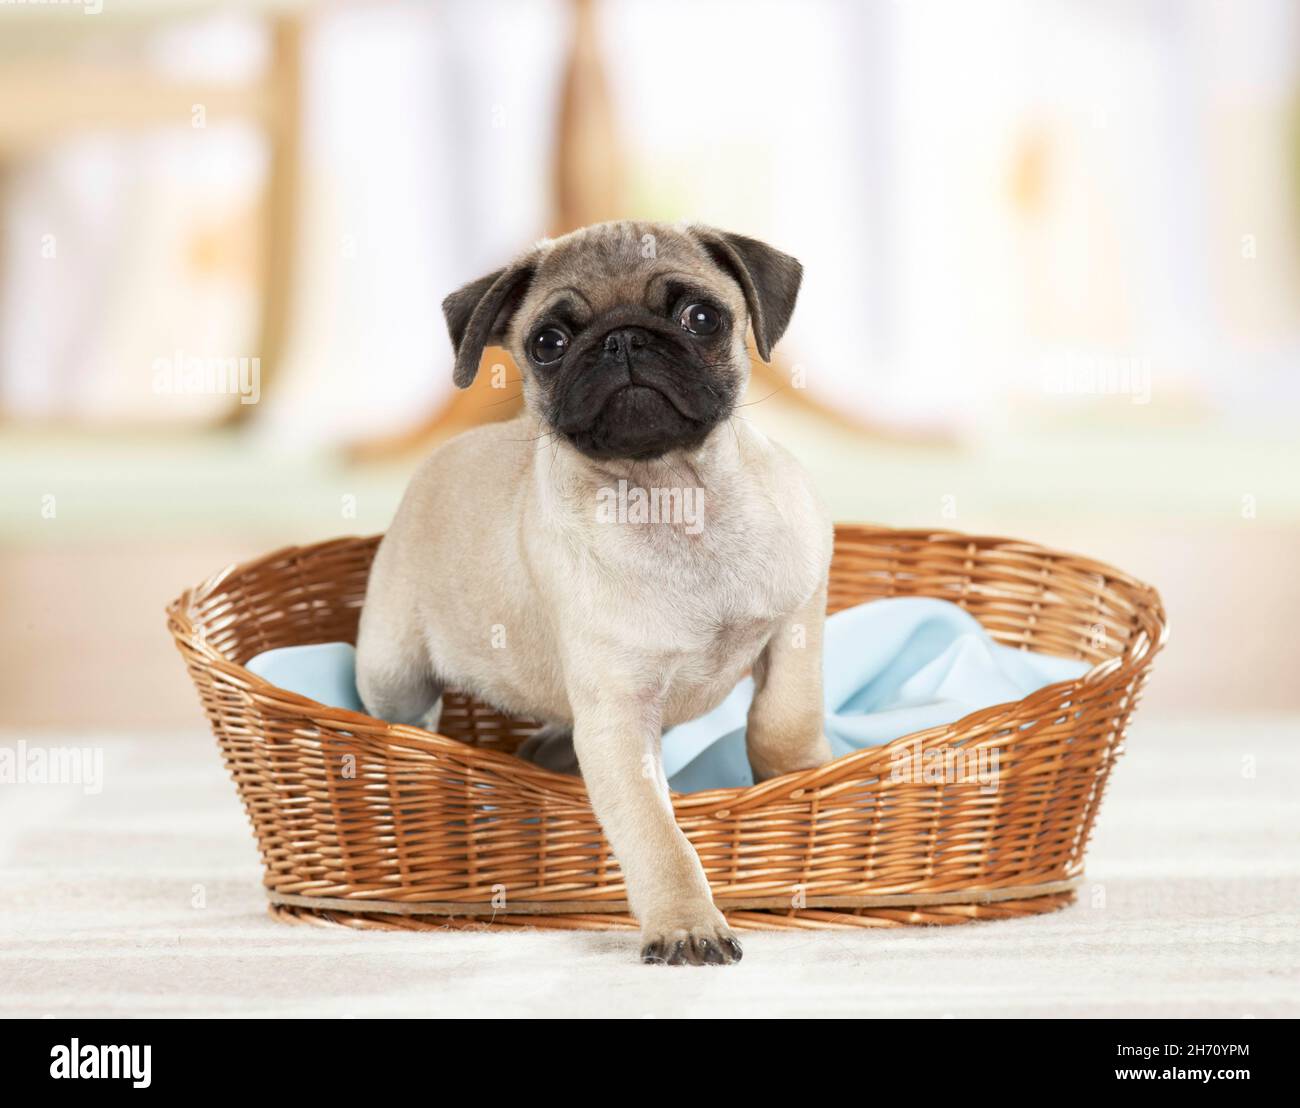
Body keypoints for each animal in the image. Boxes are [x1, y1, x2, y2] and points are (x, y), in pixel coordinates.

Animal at [353, 221, 832, 967]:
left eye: (702, 318)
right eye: (547, 342)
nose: (623, 339)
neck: (675, 496)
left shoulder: (799, 617)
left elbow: (785, 716)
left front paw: (799, 773)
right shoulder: (617, 719)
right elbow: (657, 835)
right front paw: (687, 923)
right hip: (393, 668)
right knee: (405, 710)